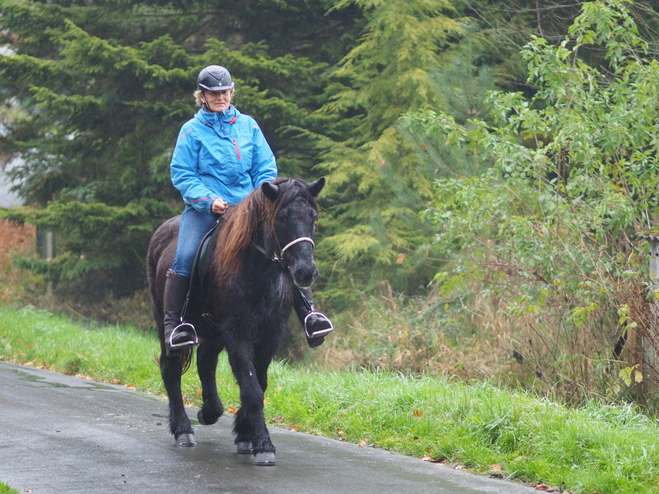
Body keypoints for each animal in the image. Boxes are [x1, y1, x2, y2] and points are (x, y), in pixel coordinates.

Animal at [148, 177, 328, 464]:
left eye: (313, 216)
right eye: (282, 218)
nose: (305, 272)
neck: (257, 271)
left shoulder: (270, 335)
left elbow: (259, 384)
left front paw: (245, 433)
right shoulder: (237, 334)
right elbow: (252, 389)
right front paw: (263, 444)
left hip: (213, 332)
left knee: (205, 362)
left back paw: (209, 411)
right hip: (167, 323)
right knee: (171, 370)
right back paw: (183, 429)